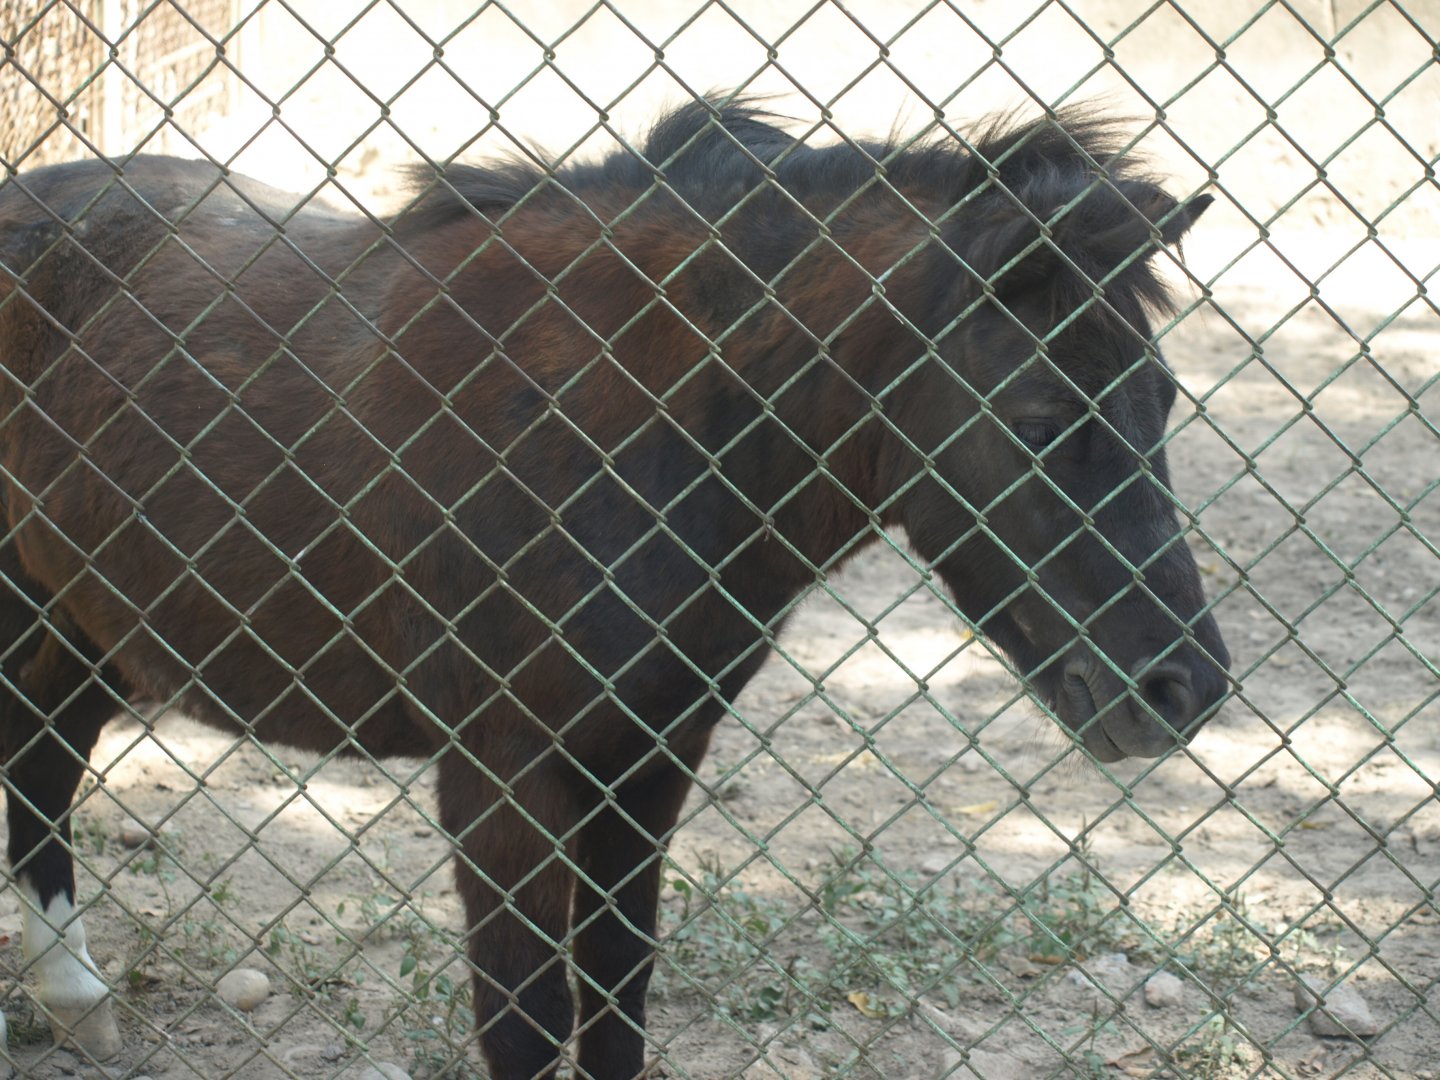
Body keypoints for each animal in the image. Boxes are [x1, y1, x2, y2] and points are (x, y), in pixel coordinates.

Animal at [0, 97, 1230, 1078]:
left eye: (1164, 398)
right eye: (1041, 420)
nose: (1180, 691)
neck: (619, 423)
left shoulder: (648, 756)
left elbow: (618, 992)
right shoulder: (503, 775)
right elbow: (529, 1021)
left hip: (84, 630)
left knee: (40, 775)